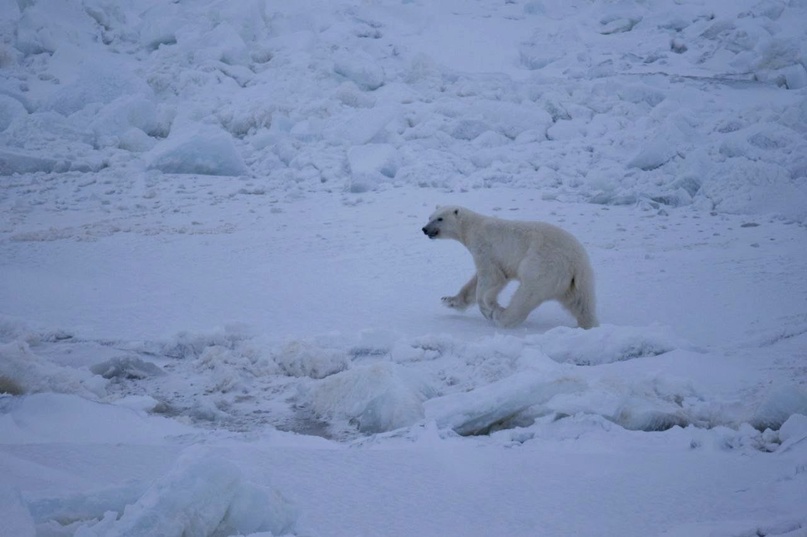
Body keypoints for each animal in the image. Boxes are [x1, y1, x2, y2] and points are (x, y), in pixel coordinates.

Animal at [422, 206, 600, 328]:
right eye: (430, 217)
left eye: (440, 219)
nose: (424, 229)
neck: (473, 227)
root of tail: (576, 263)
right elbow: (476, 282)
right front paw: (449, 300)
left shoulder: (484, 247)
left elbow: (492, 278)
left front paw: (490, 308)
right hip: (577, 282)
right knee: (582, 304)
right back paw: (588, 325)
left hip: (543, 266)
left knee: (526, 294)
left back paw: (502, 316)